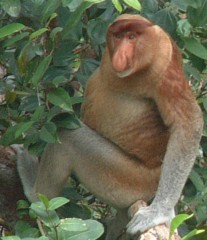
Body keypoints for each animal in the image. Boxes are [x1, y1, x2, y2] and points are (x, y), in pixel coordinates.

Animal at [17, 14, 202, 239]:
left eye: (132, 37)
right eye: (118, 36)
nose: (121, 55)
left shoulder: (163, 65)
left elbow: (188, 122)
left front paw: (159, 212)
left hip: (128, 180)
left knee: (68, 137)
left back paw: (36, 195)